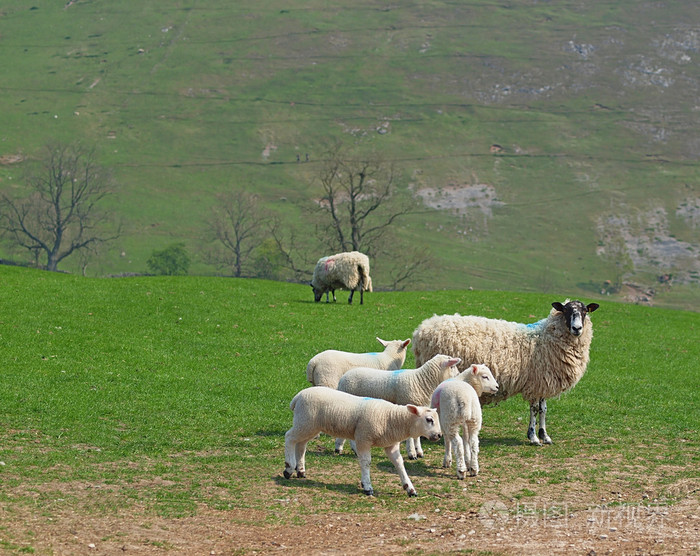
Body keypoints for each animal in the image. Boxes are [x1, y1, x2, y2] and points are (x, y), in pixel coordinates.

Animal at [282, 386, 440, 496]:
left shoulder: (391, 445)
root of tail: (298, 397)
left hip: (310, 426)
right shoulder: (363, 439)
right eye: (429, 419)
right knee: (289, 437)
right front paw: (367, 487)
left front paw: (410, 488)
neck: (390, 418)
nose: (438, 435)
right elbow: (366, 462)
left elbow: (399, 464)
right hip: (305, 421)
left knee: (301, 445)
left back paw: (300, 470)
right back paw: (289, 468)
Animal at [412, 298, 600, 446]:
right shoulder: (535, 382)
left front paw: (545, 436)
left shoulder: (542, 381)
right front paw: (533, 437)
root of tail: (421, 330)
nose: (577, 328)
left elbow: (543, 409)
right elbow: (534, 409)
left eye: (585, 311)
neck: (546, 337)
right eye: (566, 311)